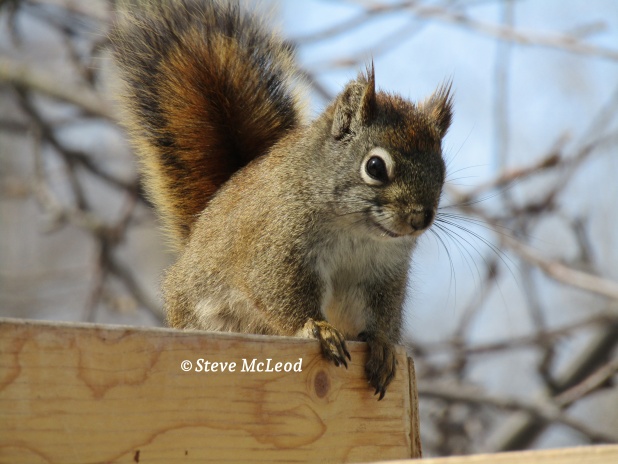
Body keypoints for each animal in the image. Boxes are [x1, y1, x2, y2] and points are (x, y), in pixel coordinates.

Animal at [111, 0, 452, 399]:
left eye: (442, 170)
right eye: (375, 167)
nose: (420, 218)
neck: (357, 231)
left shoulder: (384, 273)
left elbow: (383, 313)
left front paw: (382, 346)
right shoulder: (277, 249)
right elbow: (278, 292)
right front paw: (317, 329)